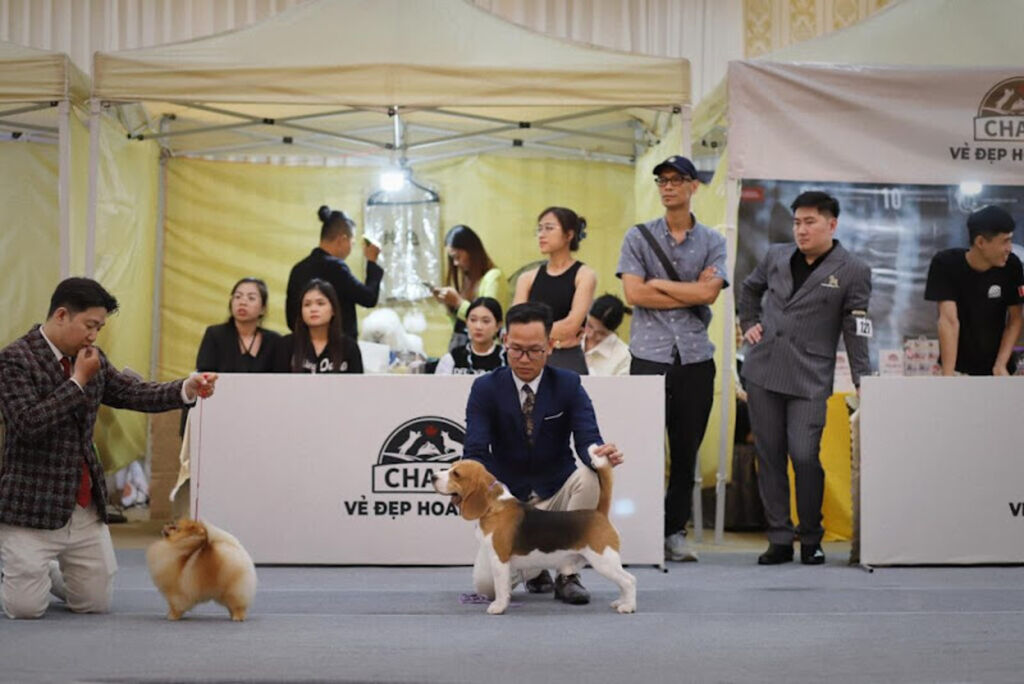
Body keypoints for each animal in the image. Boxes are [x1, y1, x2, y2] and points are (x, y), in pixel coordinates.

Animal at [432, 448, 636, 615]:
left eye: (456, 474)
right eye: (450, 468)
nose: (433, 476)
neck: (493, 506)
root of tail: (598, 513)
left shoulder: (499, 560)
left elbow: (500, 586)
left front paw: (498, 607)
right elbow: (504, 587)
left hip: (604, 560)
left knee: (629, 580)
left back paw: (628, 606)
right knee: (624, 582)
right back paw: (620, 602)